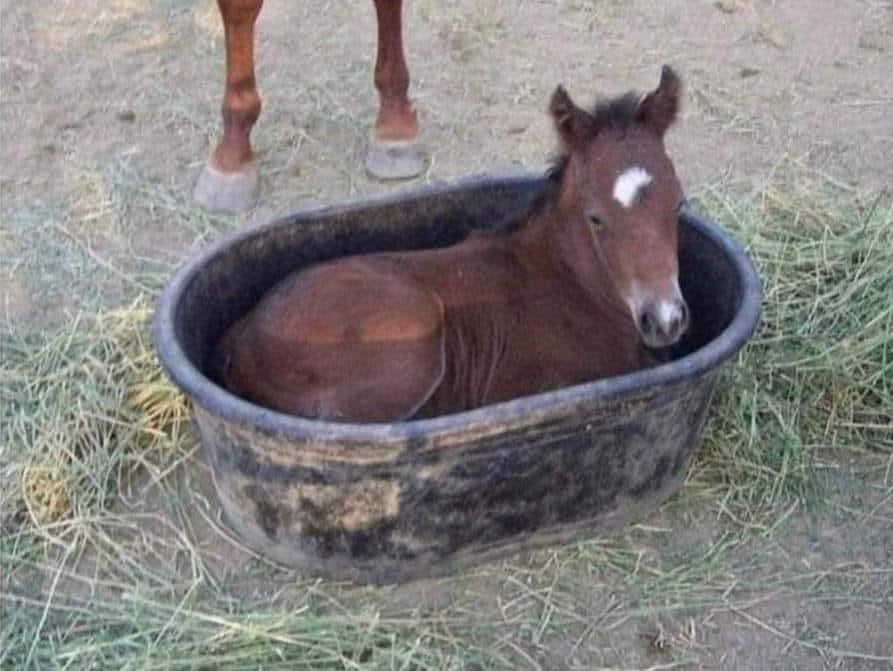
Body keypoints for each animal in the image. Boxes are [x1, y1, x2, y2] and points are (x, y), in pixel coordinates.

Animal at [215, 66, 690, 423]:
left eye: (680, 203)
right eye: (596, 218)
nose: (665, 318)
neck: (574, 286)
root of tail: (242, 333)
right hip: (409, 343)